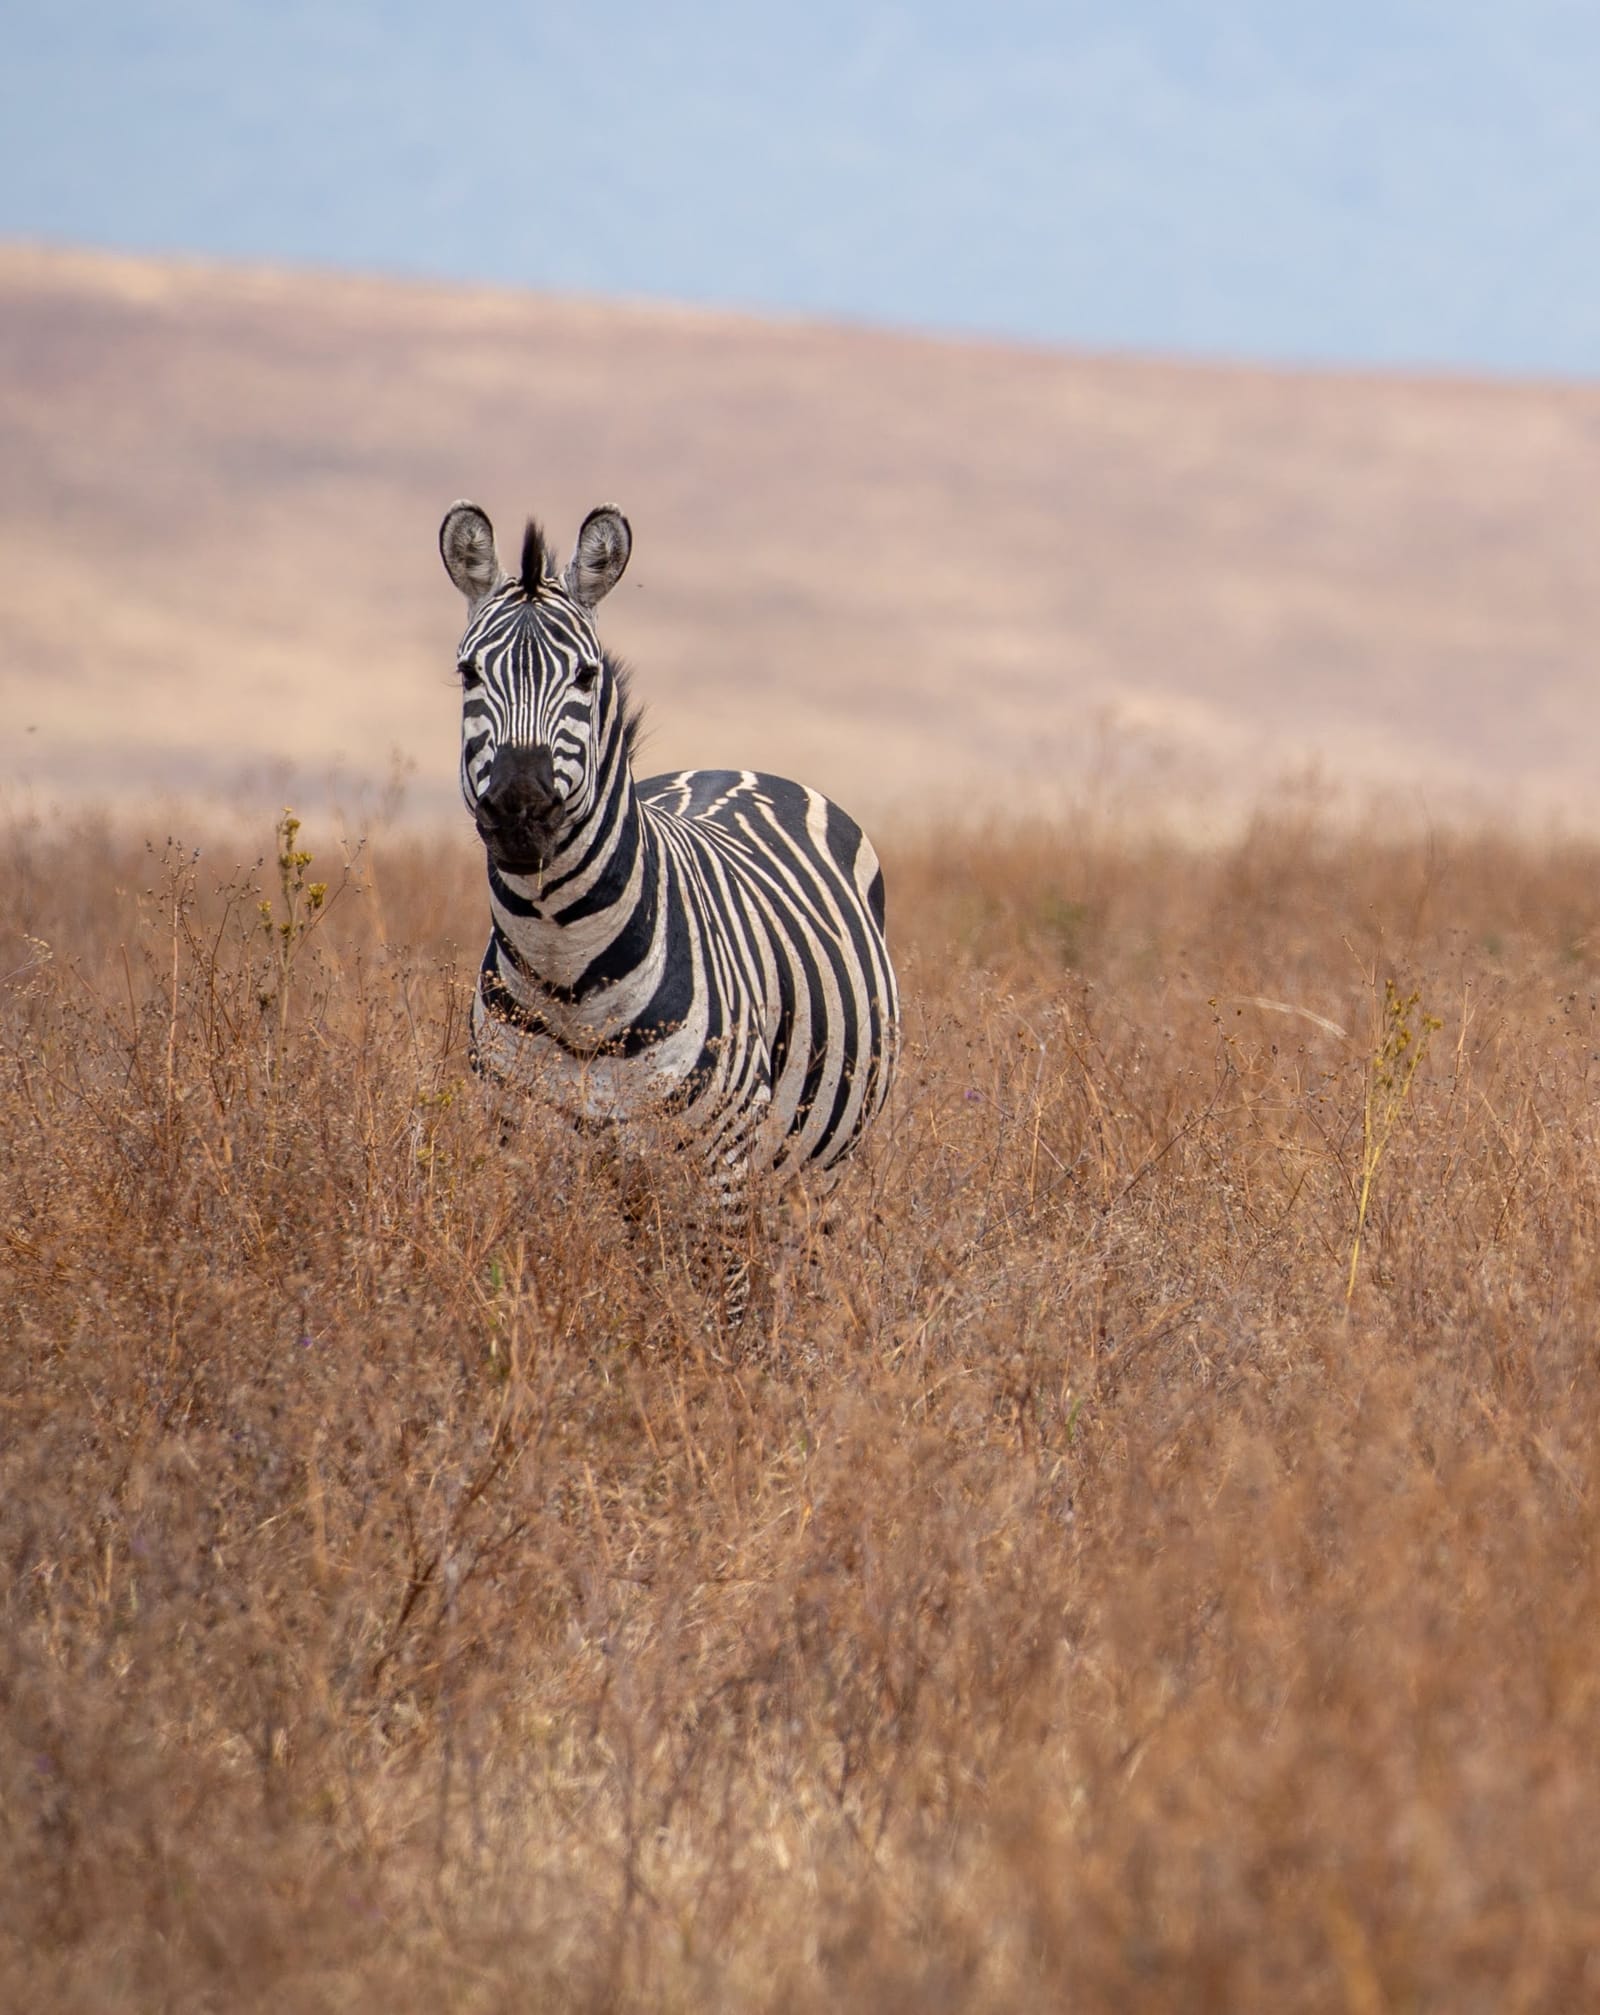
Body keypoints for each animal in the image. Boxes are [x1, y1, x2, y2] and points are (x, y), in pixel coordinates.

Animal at [439, 498, 899, 1236]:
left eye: (586, 675)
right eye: (469, 674)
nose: (518, 808)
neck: (568, 973)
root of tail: (732, 767)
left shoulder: (721, 1168)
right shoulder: (523, 1150)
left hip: (820, 1172)